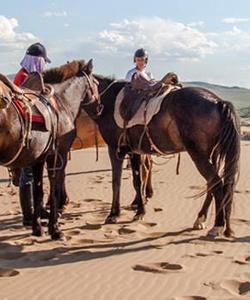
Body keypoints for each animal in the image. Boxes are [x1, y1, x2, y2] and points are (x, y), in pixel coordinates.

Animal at [0, 59, 98, 240]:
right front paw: (55, 228)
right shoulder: (58, 156)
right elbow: (54, 189)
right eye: (96, 83)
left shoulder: (38, 158)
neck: (62, 103)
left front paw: (37, 227)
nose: (100, 107)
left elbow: (38, 191)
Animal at [82, 71, 240, 238]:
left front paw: (113, 214)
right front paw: (139, 212)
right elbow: (137, 181)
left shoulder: (115, 149)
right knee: (212, 184)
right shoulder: (134, 151)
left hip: (199, 155)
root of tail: (218, 102)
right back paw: (201, 219)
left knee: (217, 184)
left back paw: (217, 226)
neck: (108, 102)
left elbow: (116, 181)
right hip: (212, 154)